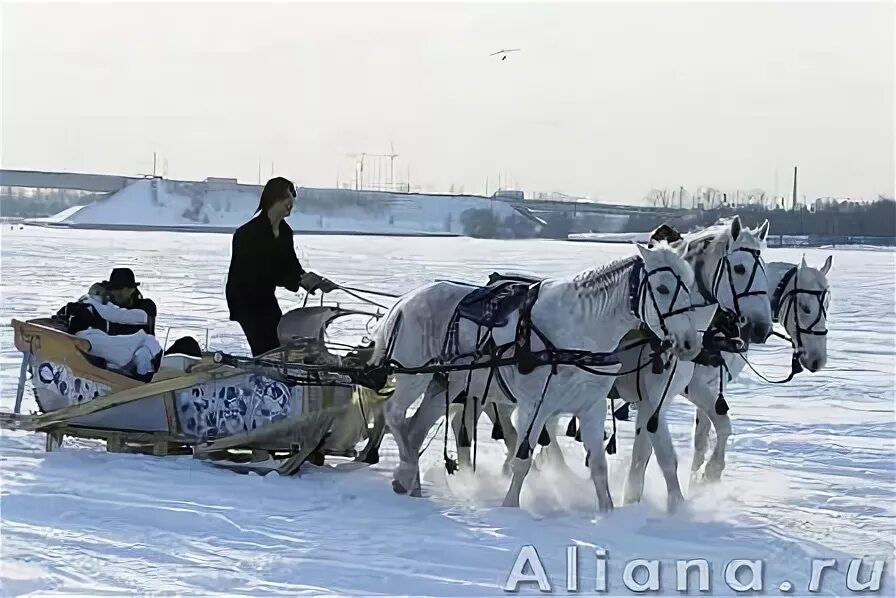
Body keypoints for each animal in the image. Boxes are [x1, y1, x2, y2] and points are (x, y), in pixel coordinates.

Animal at [372, 241, 708, 512]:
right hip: (413, 375)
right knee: (394, 414)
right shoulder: (535, 406)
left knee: (415, 428)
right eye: (663, 288)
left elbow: (599, 464)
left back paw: (410, 480)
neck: (579, 332)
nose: (690, 343)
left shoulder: (592, 406)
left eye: (690, 284)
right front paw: (510, 507)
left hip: (443, 384)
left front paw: (607, 513)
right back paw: (406, 470)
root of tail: (403, 303)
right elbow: (522, 459)